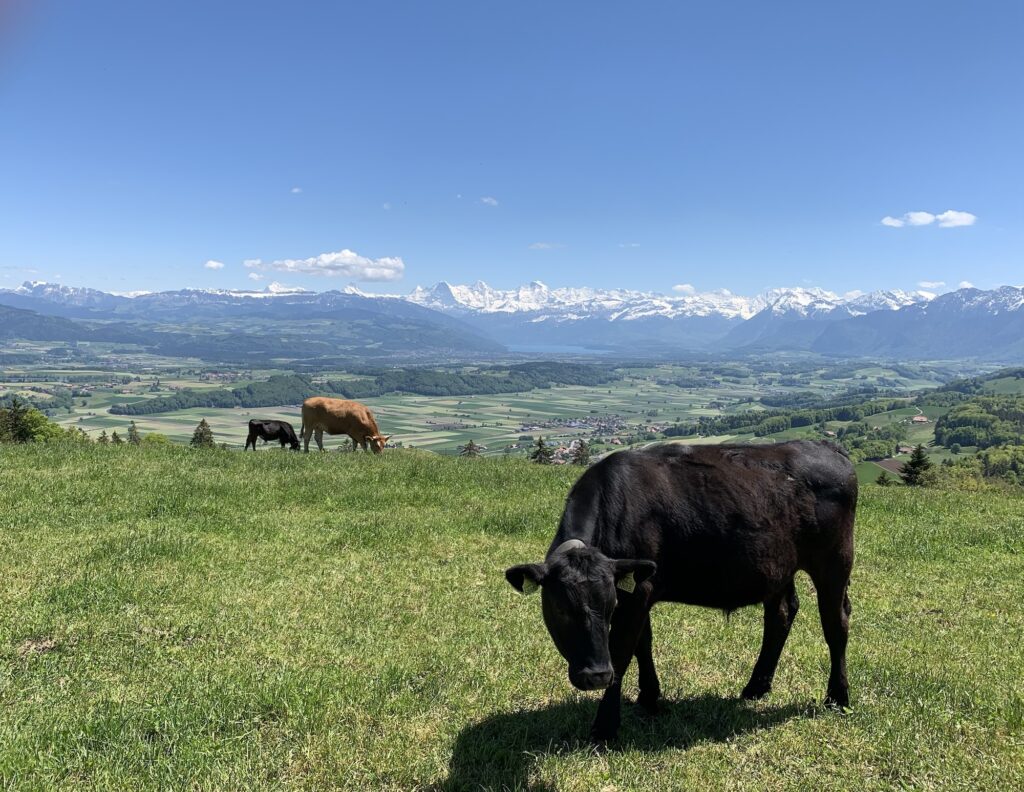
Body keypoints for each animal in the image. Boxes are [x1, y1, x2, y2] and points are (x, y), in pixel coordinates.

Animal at [505, 440, 856, 742]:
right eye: (561, 608)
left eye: (609, 605)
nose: (596, 675)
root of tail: (826, 447)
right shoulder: (639, 585)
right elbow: (643, 644)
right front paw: (649, 698)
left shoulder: (637, 593)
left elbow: (622, 652)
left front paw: (605, 727)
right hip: (779, 567)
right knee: (781, 614)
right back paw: (756, 687)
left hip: (835, 561)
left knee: (835, 623)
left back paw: (837, 697)